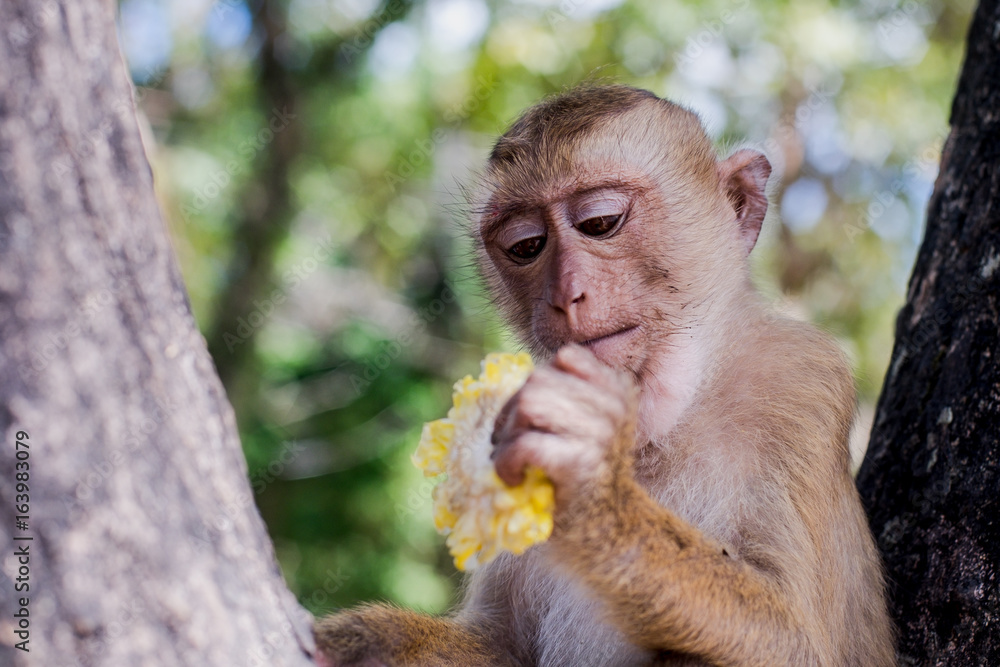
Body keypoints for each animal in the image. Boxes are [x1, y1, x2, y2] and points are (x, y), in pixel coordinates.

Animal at [314, 84, 895, 666]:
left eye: (600, 223)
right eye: (526, 246)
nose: (566, 294)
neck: (663, 424)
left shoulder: (800, 380)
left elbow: (802, 641)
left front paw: (597, 491)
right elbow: (500, 646)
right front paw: (364, 641)